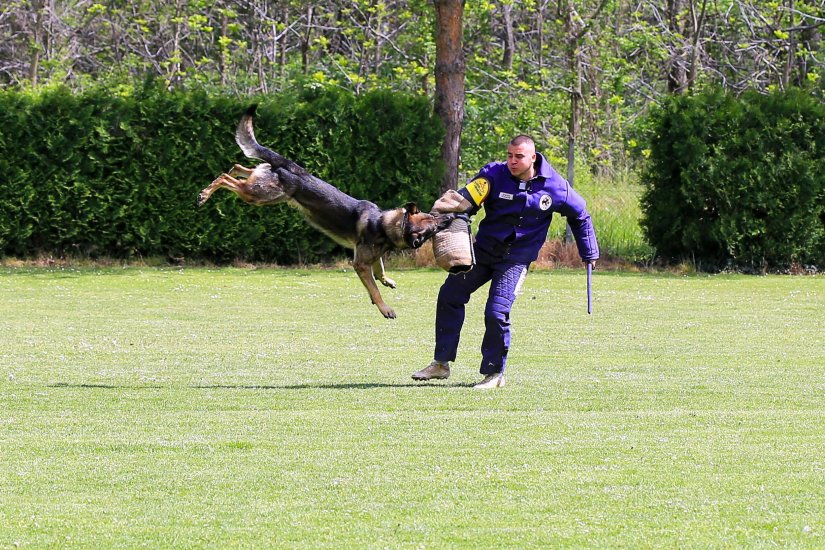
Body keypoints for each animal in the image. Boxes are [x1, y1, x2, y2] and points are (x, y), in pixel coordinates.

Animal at [199, 105, 454, 320]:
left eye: (434, 218)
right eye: (434, 224)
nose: (450, 217)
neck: (384, 223)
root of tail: (293, 167)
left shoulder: (372, 258)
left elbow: (380, 270)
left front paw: (387, 280)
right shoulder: (360, 264)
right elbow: (373, 287)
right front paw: (384, 308)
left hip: (262, 187)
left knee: (238, 167)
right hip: (260, 196)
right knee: (226, 177)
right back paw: (204, 194)